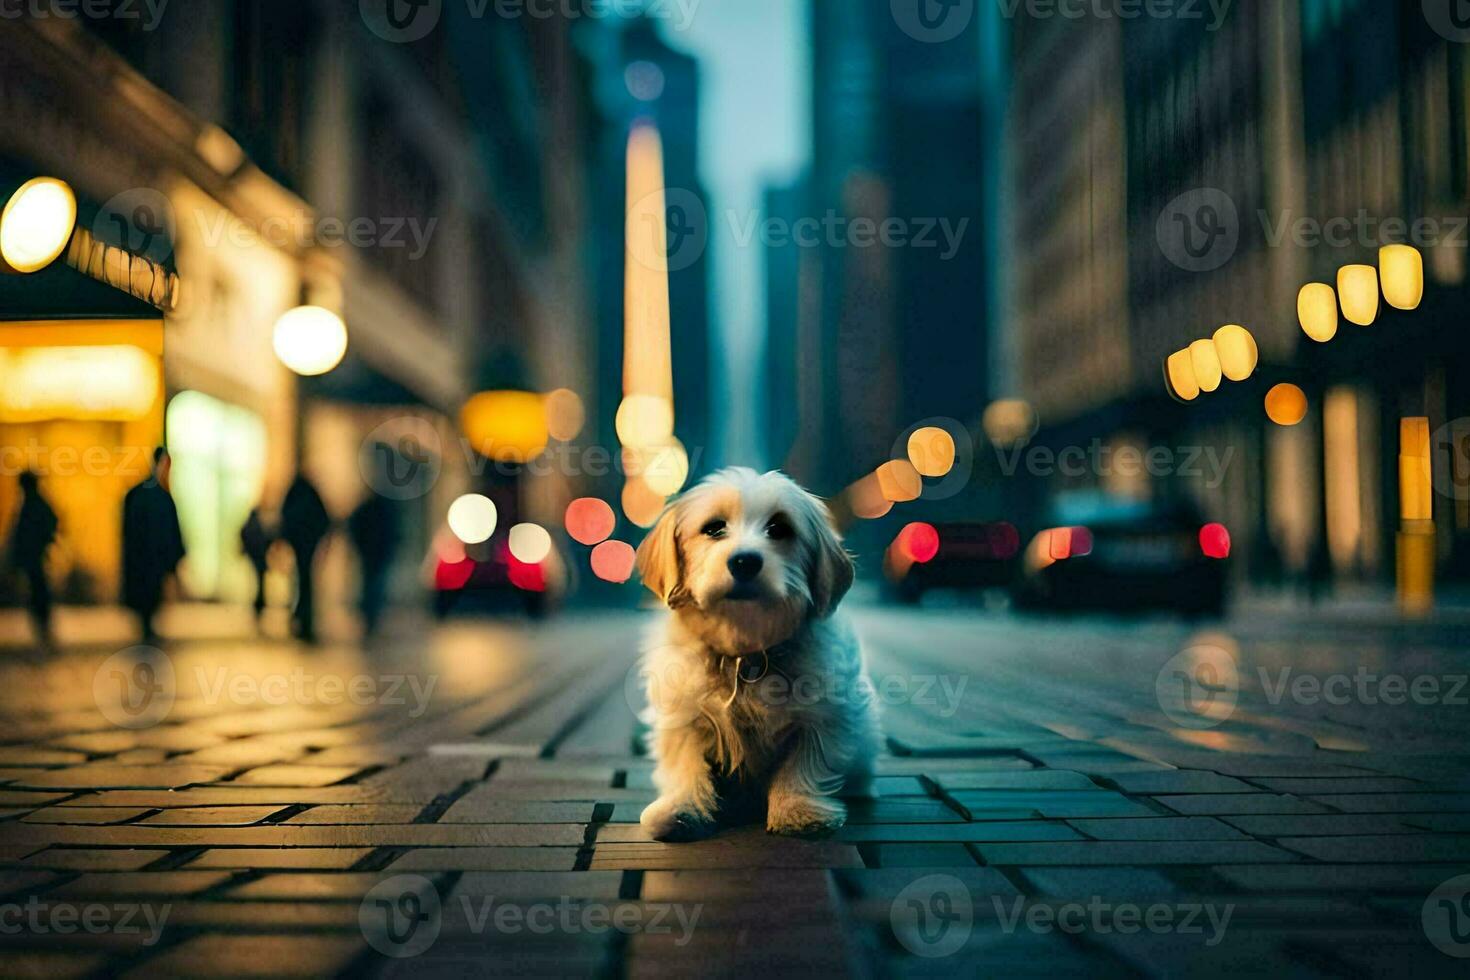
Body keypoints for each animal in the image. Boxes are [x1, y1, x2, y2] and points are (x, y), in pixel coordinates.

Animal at [629, 467, 870, 846]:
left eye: (779, 529)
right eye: (714, 528)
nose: (745, 560)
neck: (744, 651)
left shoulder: (823, 718)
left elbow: (803, 765)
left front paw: (797, 810)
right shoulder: (683, 718)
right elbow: (685, 764)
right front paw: (681, 807)